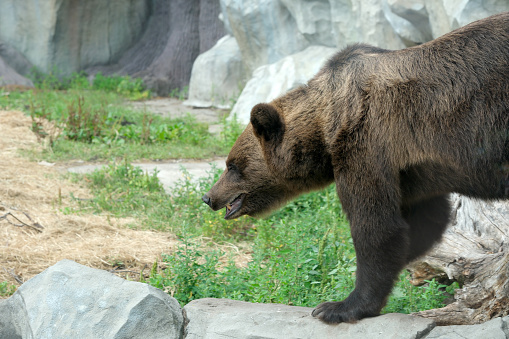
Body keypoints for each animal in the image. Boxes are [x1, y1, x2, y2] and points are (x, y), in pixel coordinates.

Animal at [200, 12, 508, 324]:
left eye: (232, 166)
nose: (208, 197)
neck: (323, 130)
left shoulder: (365, 140)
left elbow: (376, 226)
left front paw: (338, 306)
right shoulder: (413, 170)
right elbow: (424, 222)